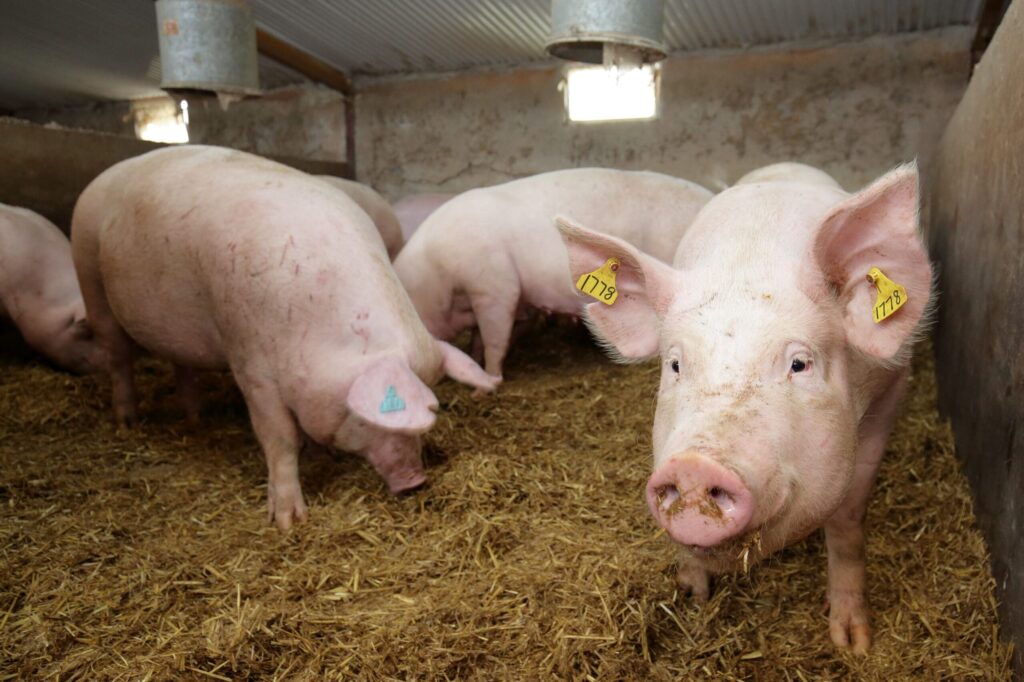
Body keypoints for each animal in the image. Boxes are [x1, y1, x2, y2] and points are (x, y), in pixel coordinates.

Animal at [71, 145, 497, 530]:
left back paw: (194, 419)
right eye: (376, 418)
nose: (416, 481)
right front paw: (289, 521)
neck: (314, 331)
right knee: (118, 356)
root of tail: (109, 171)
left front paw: (318, 456)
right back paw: (127, 422)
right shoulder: (251, 363)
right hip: (90, 275)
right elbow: (279, 437)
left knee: (180, 363)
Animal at [557, 162, 932, 652]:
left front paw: (852, 643)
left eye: (799, 363)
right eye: (675, 364)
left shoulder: (891, 390)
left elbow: (848, 519)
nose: (695, 466)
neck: (751, 263)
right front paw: (691, 596)